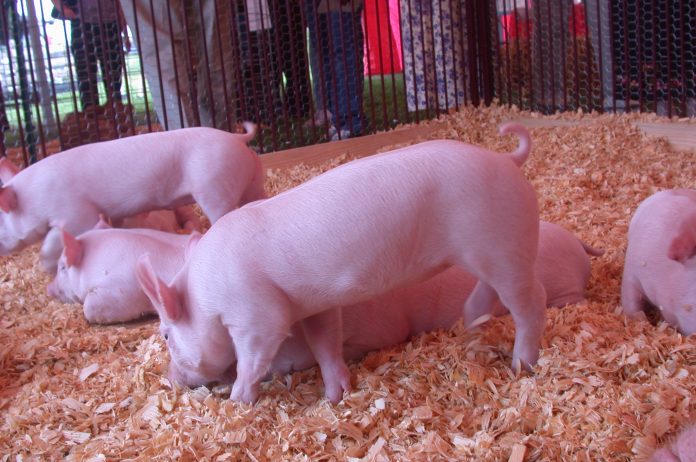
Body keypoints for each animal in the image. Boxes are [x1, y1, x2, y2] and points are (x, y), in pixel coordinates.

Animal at [0, 122, 265, 274]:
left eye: (1, 222)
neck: (34, 196)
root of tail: (235, 138)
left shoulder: (75, 212)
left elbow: (57, 236)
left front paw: (46, 267)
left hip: (213, 185)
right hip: (251, 178)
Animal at [136, 122, 548, 404]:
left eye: (167, 334)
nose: (170, 376)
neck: (205, 293)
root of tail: (506, 159)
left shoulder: (257, 313)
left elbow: (253, 357)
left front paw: (236, 401)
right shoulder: (311, 305)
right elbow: (325, 344)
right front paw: (335, 397)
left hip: (501, 243)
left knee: (531, 301)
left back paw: (522, 365)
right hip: (487, 251)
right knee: (490, 292)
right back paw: (471, 326)